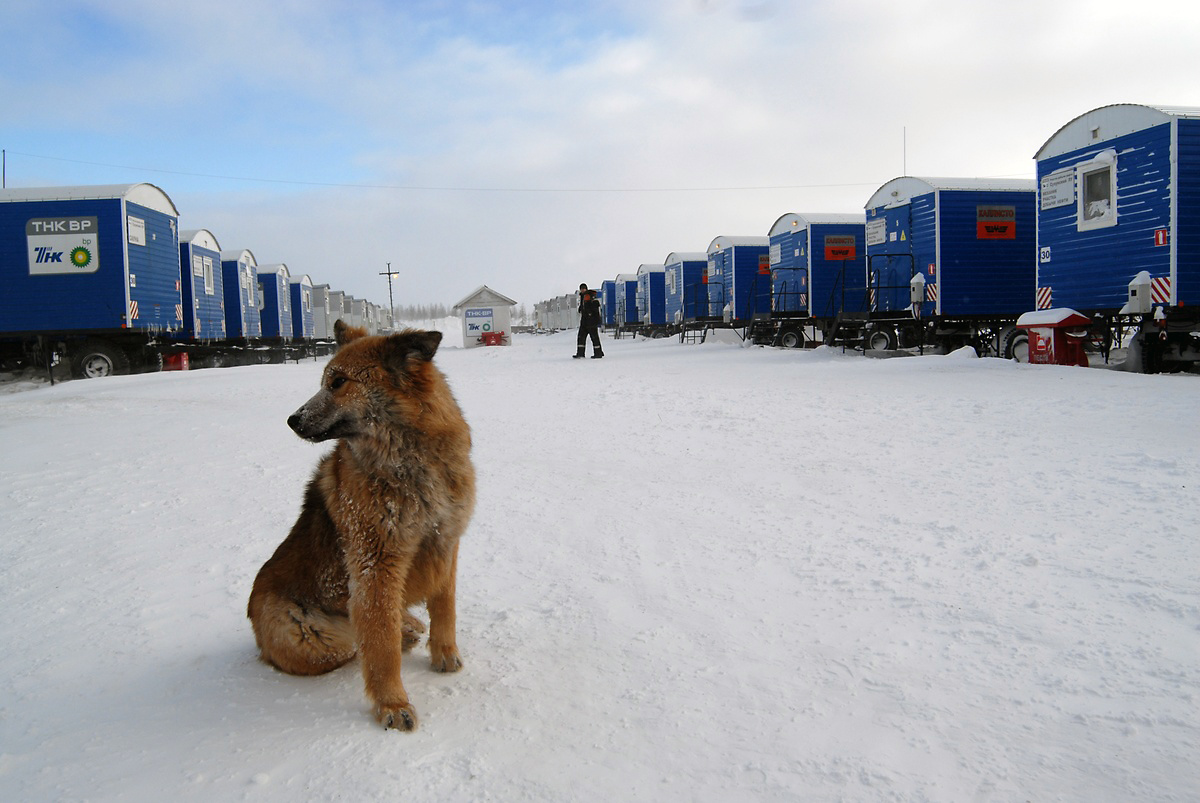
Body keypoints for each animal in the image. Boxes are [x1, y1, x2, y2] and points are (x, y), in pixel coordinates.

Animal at [247, 321, 472, 729]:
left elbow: (445, 608)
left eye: (338, 382)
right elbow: (380, 642)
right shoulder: (376, 565)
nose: (292, 420)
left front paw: (444, 655)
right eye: (325, 380)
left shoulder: (446, 542)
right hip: (310, 637)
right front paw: (393, 704)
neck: (409, 464)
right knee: (351, 639)